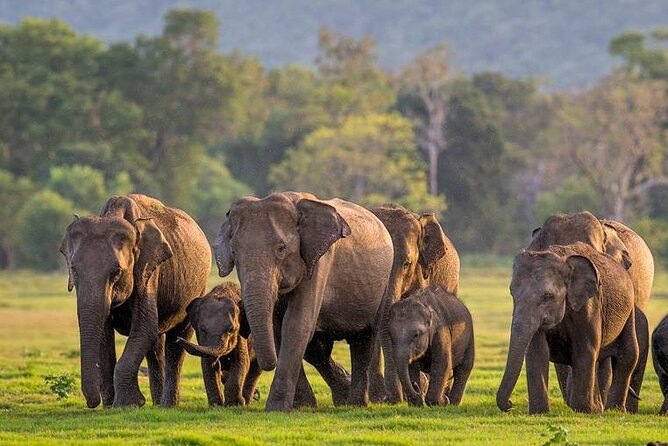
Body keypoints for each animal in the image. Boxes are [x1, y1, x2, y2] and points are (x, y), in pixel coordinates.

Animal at [59, 194, 211, 408]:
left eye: (116, 272)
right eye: (73, 270)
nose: (92, 403)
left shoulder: (148, 270)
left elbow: (144, 327)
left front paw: (129, 404)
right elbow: (105, 333)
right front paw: (110, 406)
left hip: (198, 288)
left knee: (177, 340)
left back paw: (167, 405)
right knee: (156, 345)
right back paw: (157, 404)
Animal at [212, 192, 394, 411]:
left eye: (281, 249)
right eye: (234, 252)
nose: (255, 395)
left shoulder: (320, 262)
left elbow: (296, 325)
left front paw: (276, 408)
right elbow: (279, 329)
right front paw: (303, 406)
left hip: (382, 285)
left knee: (364, 338)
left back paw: (355, 404)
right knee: (318, 349)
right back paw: (343, 396)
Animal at [497, 242, 638, 414]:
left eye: (547, 296)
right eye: (512, 294)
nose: (510, 404)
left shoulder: (589, 305)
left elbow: (585, 348)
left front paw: (585, 410)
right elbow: (537, 350)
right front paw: (539, 412)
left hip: (629, 310)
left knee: (628, 354)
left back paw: (613, 410)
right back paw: (600, 407)